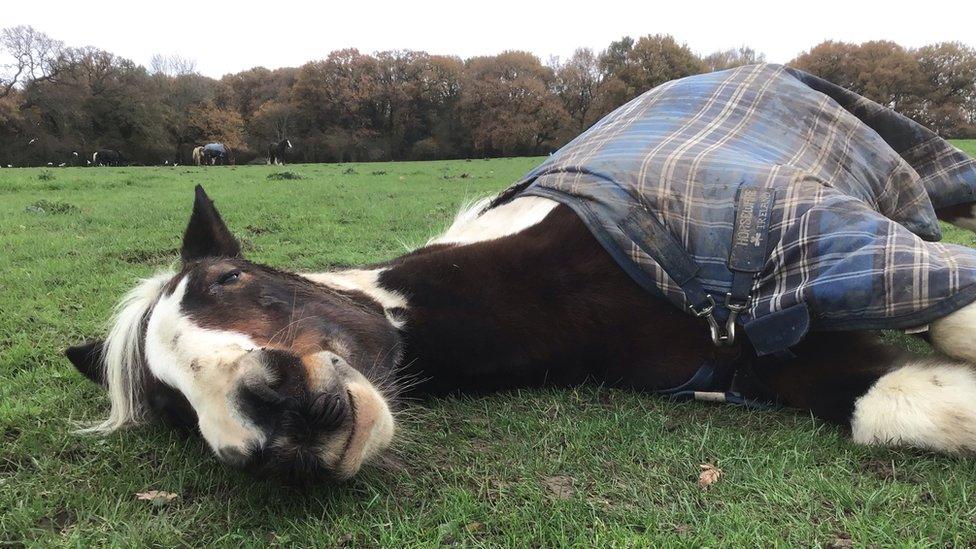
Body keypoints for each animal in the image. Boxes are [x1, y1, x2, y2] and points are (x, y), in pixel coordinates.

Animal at [65, 66, 976, 482]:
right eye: (172, 410)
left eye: (228, 280)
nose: (265, 425)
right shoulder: (767, 356)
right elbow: (903, 403)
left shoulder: (839, 240)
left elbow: (954, 315)